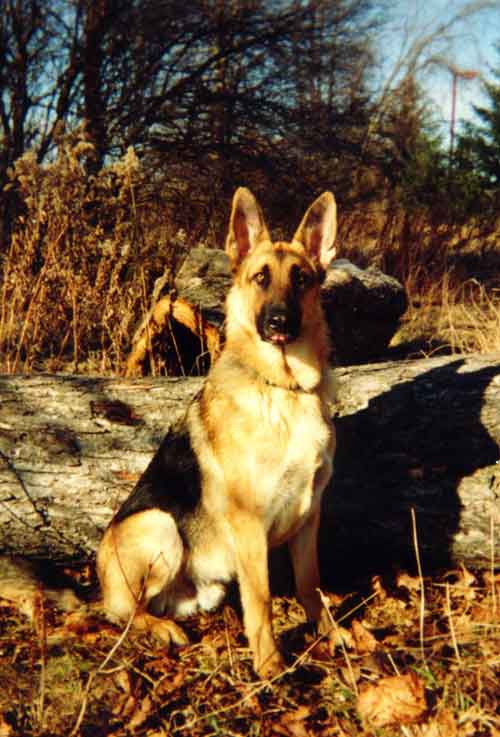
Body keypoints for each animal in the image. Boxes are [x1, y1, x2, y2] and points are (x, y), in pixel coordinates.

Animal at [96, 187, 340, 676]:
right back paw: (160, 629)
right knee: (126, 612)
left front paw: (332, 632)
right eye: (260, 278)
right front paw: (269, 665)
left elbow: (311, 585)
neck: (283, 389)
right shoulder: (250, 526)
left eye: (302, 279)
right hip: (159, 525)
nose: (280, 323)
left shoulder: (310, 516)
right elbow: (261, 600)